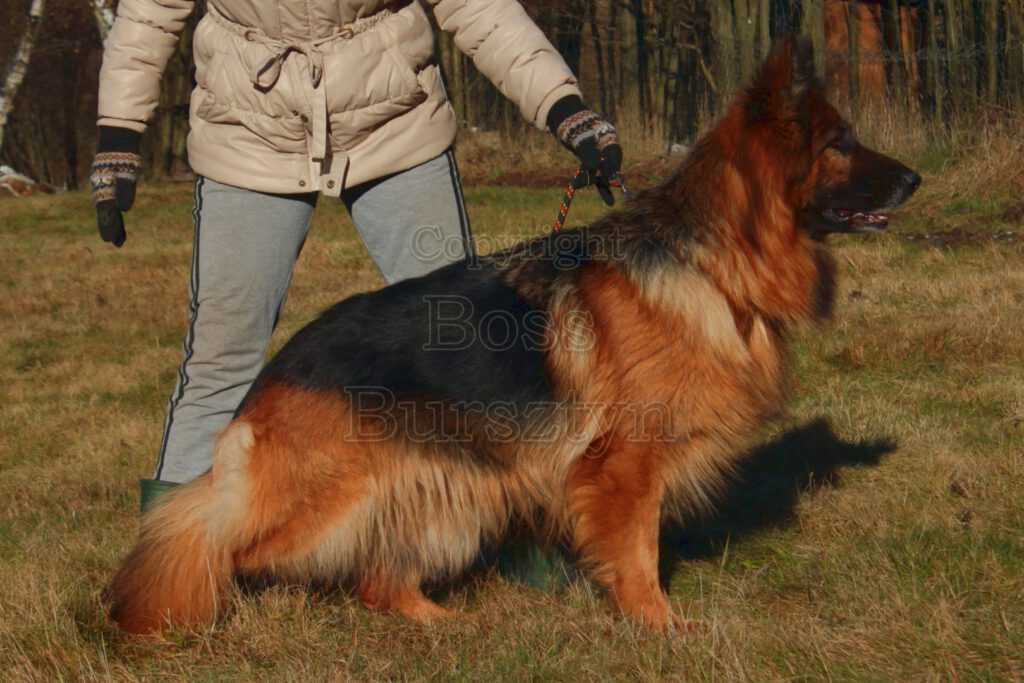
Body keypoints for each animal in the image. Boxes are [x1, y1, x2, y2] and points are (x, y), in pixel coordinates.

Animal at [105, 38, 921, 634]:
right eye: (842, 143)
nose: (915, 179)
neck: (710, 262)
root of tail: (274, 372)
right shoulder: (624, 466)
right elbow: (639, 552)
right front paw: (659, 627)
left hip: (442, 492)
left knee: (375, 579)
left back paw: (442, 624)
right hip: (334, 499)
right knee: (218, 540)